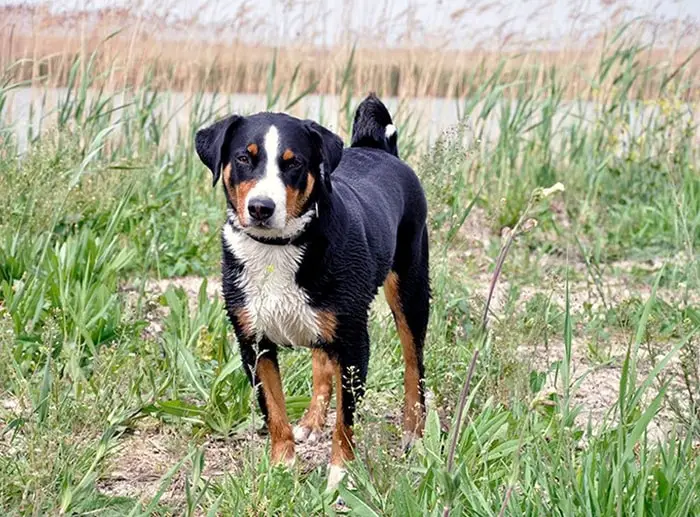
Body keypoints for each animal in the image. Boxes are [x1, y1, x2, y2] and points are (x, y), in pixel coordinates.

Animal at [194, 93, 430, 492]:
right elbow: (273, 409)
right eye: (244, 158)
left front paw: (340, 473)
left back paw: (414, 431)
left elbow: (346, 419)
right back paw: (311, 421)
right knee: (322, 364)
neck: (275, 250)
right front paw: (282, 466)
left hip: (410, 291)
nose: (261, 207)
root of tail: (375, 148)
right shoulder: (253, 343)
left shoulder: (353, 342)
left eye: (293, 163)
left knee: (414, 364)